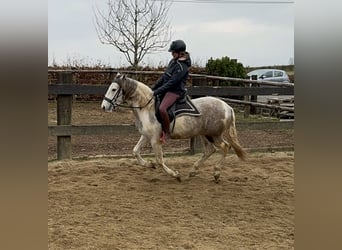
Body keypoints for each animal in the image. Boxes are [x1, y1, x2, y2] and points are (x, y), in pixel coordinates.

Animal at [100, 73, 247, 182]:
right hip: (204, 134)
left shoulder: (155, 139)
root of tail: (227, 107)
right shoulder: (146, 135)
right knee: (210, 150)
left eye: (114, 89)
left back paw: (216, 172)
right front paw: (149, 164)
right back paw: (193, 171)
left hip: (214, 135)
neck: (146, 107)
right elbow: (135, 151)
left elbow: (160, 160)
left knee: (225, 146)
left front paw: (175, 174)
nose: (104, 106)